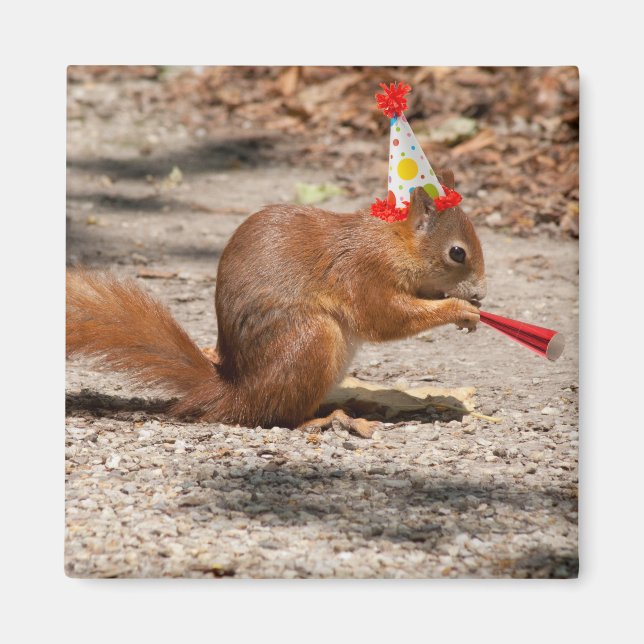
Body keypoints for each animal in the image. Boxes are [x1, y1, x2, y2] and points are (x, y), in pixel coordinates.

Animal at [66, 169, 486, 438]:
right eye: (457, 253)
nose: (481, 292)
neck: (394, 242)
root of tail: (238, 392)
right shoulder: (363, 271)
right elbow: (384, 317)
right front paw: (459, 309)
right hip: (313, 341)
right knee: (273, 417)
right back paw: (322, 421)